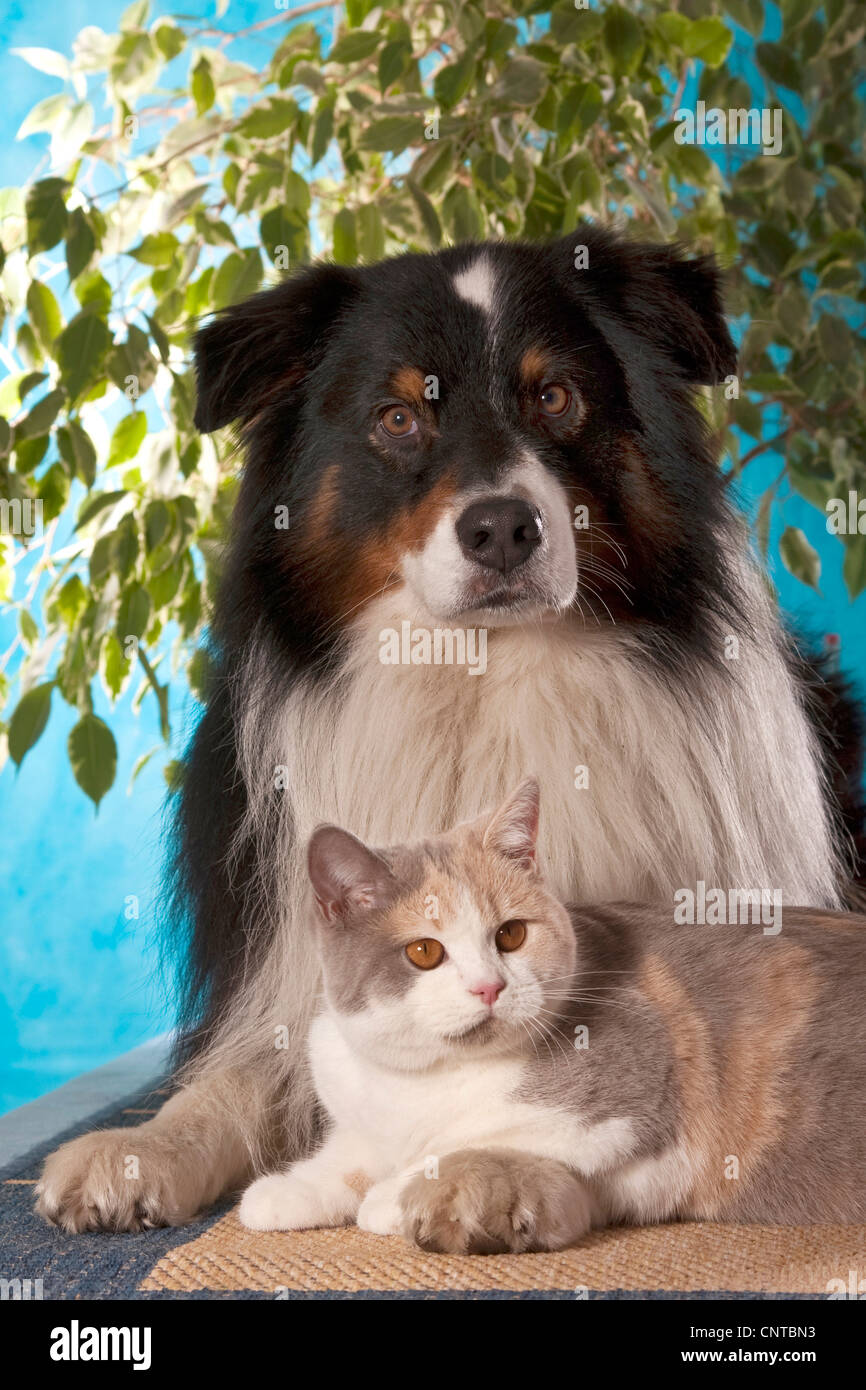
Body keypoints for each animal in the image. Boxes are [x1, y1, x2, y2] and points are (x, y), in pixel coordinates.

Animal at [237, 778, 866, 1256]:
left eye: (511, 935)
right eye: (424, 951)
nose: (489, 986)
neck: (425, 1079)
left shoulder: (632, 1098)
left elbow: (477, 1135)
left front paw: (394, 1197)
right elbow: (351, 1155)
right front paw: (288, 1191)